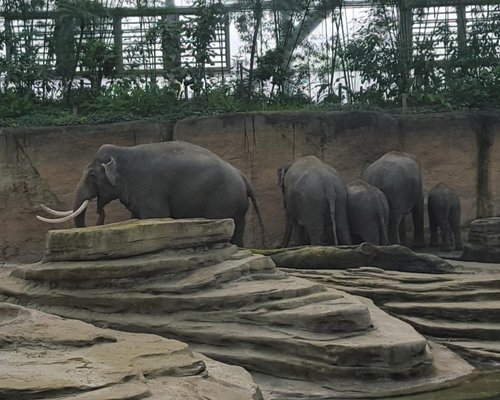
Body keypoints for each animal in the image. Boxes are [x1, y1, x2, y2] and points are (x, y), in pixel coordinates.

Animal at [37, 141, 266, 247]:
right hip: (238, 206)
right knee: (237, 234)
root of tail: (243, 176)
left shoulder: (150, 189)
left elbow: (156, 216)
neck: (125, 152)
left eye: (92, 175)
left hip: (223, 199)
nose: (98, 219)